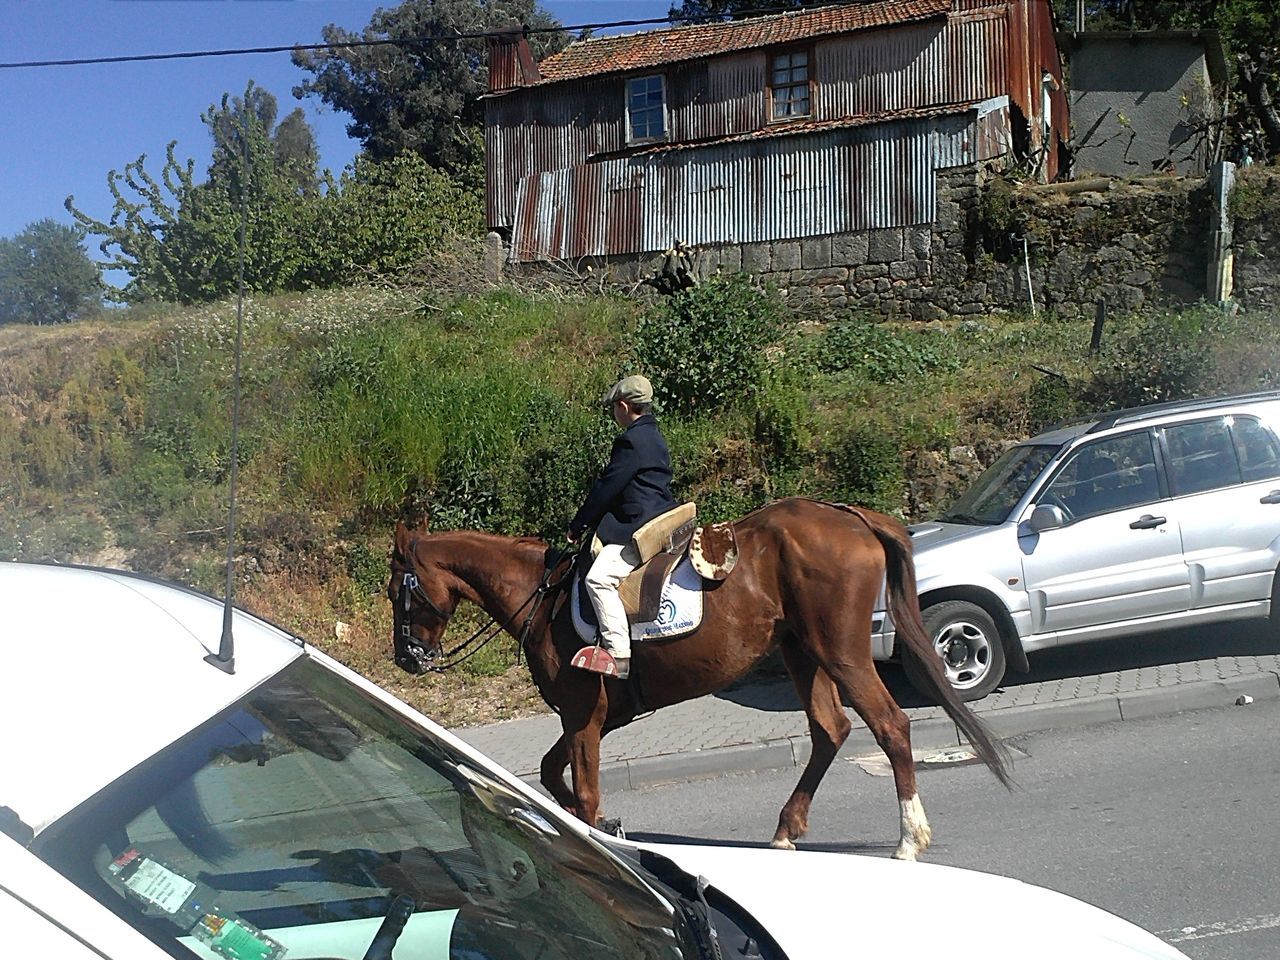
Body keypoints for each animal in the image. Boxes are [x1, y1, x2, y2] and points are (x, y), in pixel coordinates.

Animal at [389, 499, 1008, 860]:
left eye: (399, 589)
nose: (407, 658)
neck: (544, 598)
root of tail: (851, 516)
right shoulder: (591, 718)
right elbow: (549, 771)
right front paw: (601, 823)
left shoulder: (583, 714)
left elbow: (583, 791)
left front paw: (597, 829)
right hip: (802, 652)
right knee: (830, 730)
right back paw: (787, 828)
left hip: (842, 653)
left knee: (890, 725)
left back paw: (908, 839)